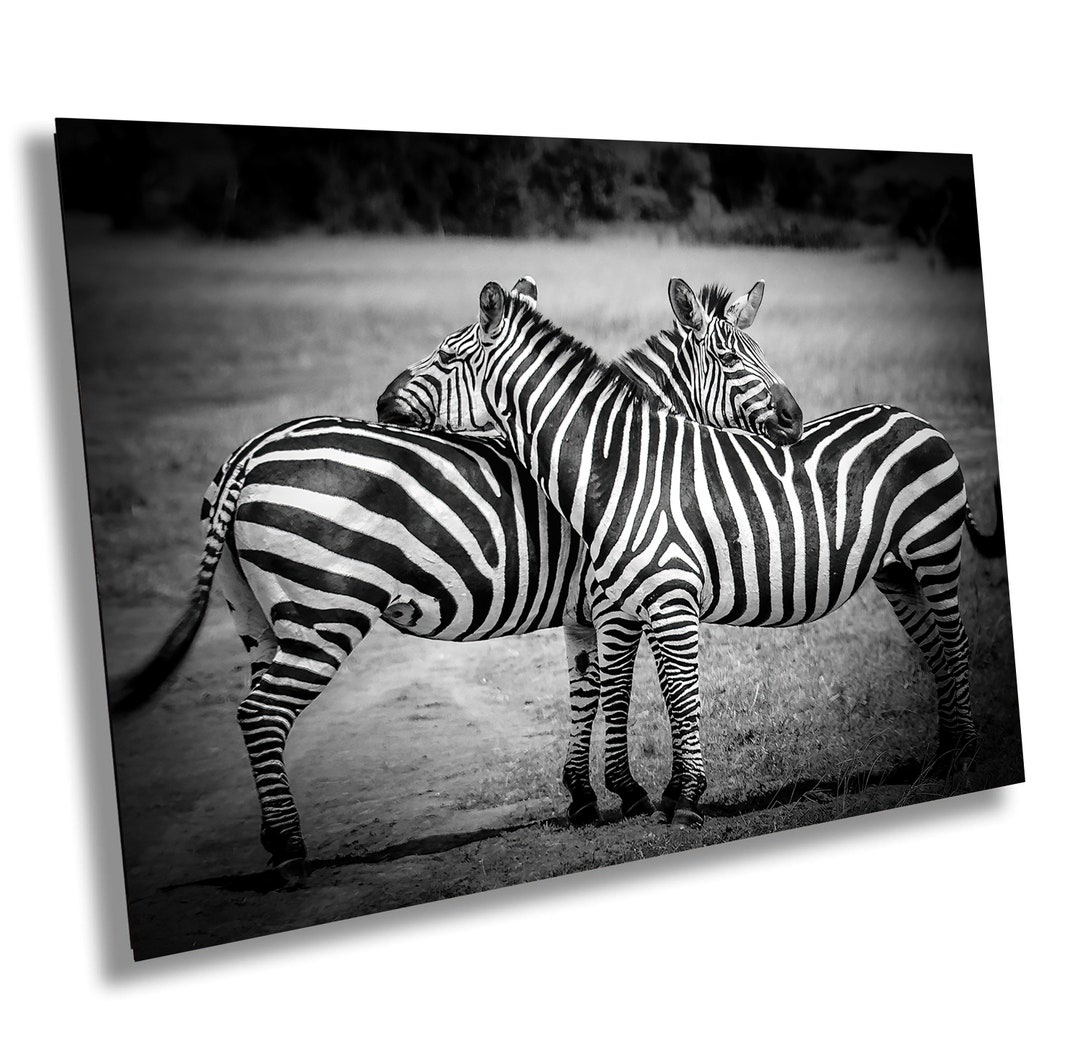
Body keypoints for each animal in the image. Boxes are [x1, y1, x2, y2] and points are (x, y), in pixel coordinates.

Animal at [116, 277, 800, 875]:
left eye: (759, 354)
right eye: (729, 357)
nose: (795, 420)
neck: (619, 454)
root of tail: (250, 451)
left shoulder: (583, 613)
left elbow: (583, 692)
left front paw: (582, 797)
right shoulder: (614, 603)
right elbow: (617, 690)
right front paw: (627, 791)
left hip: (257, 616)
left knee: (262, 711)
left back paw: (271, 837)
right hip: (325, 612)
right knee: (261, 713)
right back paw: (289, 853)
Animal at [379, 278, 1005, 829]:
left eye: (445, 355)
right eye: (728, 357)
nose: (382, 401)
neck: (619, 465)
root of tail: (912, 416)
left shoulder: (654, 603)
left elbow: (661, 694)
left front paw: (672, 799)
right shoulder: (630, 605)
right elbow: (631, 692)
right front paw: (634, 795)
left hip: (933, 551)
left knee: (954, 643)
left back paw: (966, 754)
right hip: (897, 571)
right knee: (933, 647)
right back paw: (945, 755)